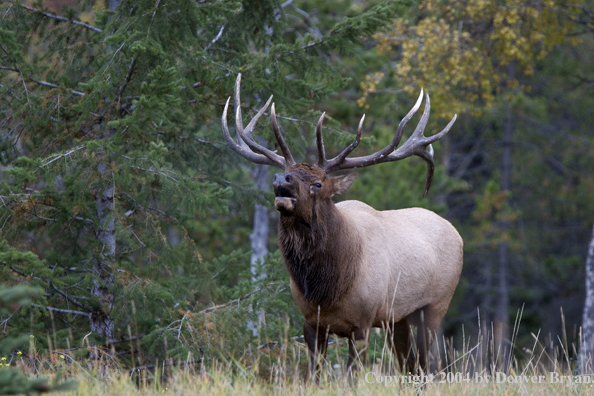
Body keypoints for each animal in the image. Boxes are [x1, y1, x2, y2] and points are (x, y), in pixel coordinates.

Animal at [220, 73, 460, 378]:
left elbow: (351, 377)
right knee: (410, 366)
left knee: (425, 365)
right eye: (286, 172)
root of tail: (456, 232)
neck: (326, 289)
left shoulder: (363, 323)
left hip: (436, 305)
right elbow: (313, 375)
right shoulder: (311, 322)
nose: (280, 179)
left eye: (317, 183)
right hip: (399, 319)